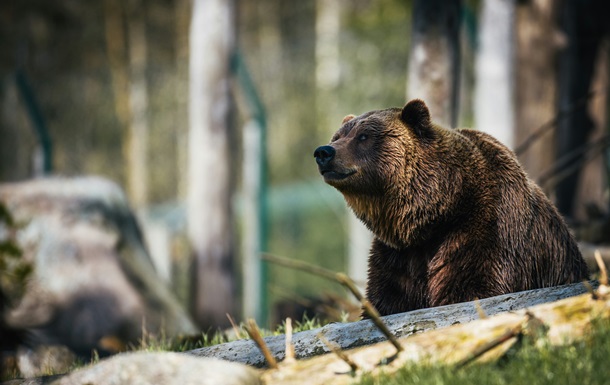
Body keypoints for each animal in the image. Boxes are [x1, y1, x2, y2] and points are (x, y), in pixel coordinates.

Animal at [312, 99, 588, 316]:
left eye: (364, 136)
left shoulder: (485, 229)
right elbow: (388, 299)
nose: (324, 152)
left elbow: (471, 287)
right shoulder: (399, 255)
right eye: (338, 136)